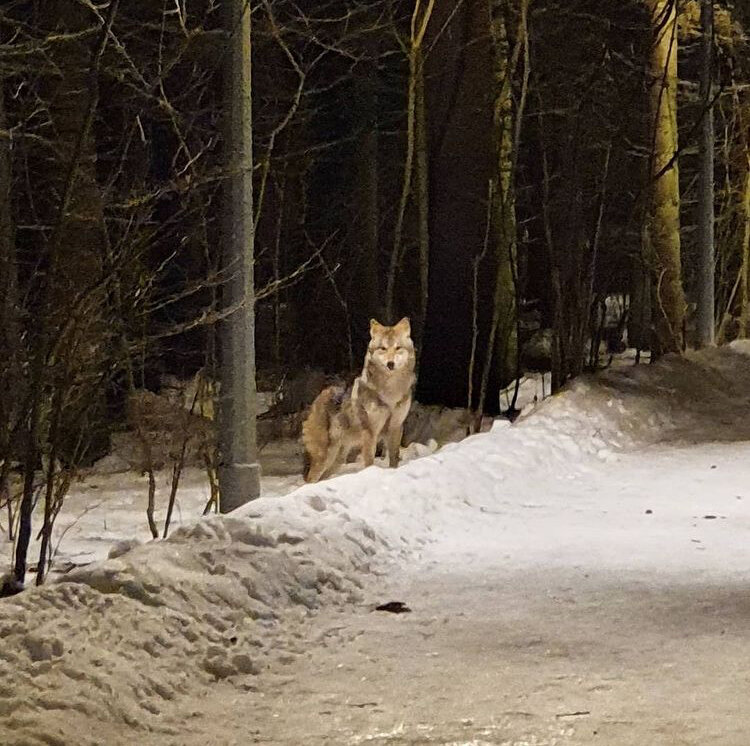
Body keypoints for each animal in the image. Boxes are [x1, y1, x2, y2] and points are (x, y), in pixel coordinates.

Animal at [304, 318, 420, 482]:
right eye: (383, 348)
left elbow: (394, 458)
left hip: (337, 460)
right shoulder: (370, 432)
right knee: (310, 480)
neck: (390, 392)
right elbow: (369, 461)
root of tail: (319, 397)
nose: (390, 364)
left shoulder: (396, 427)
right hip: (325, 457)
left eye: (398, 348)